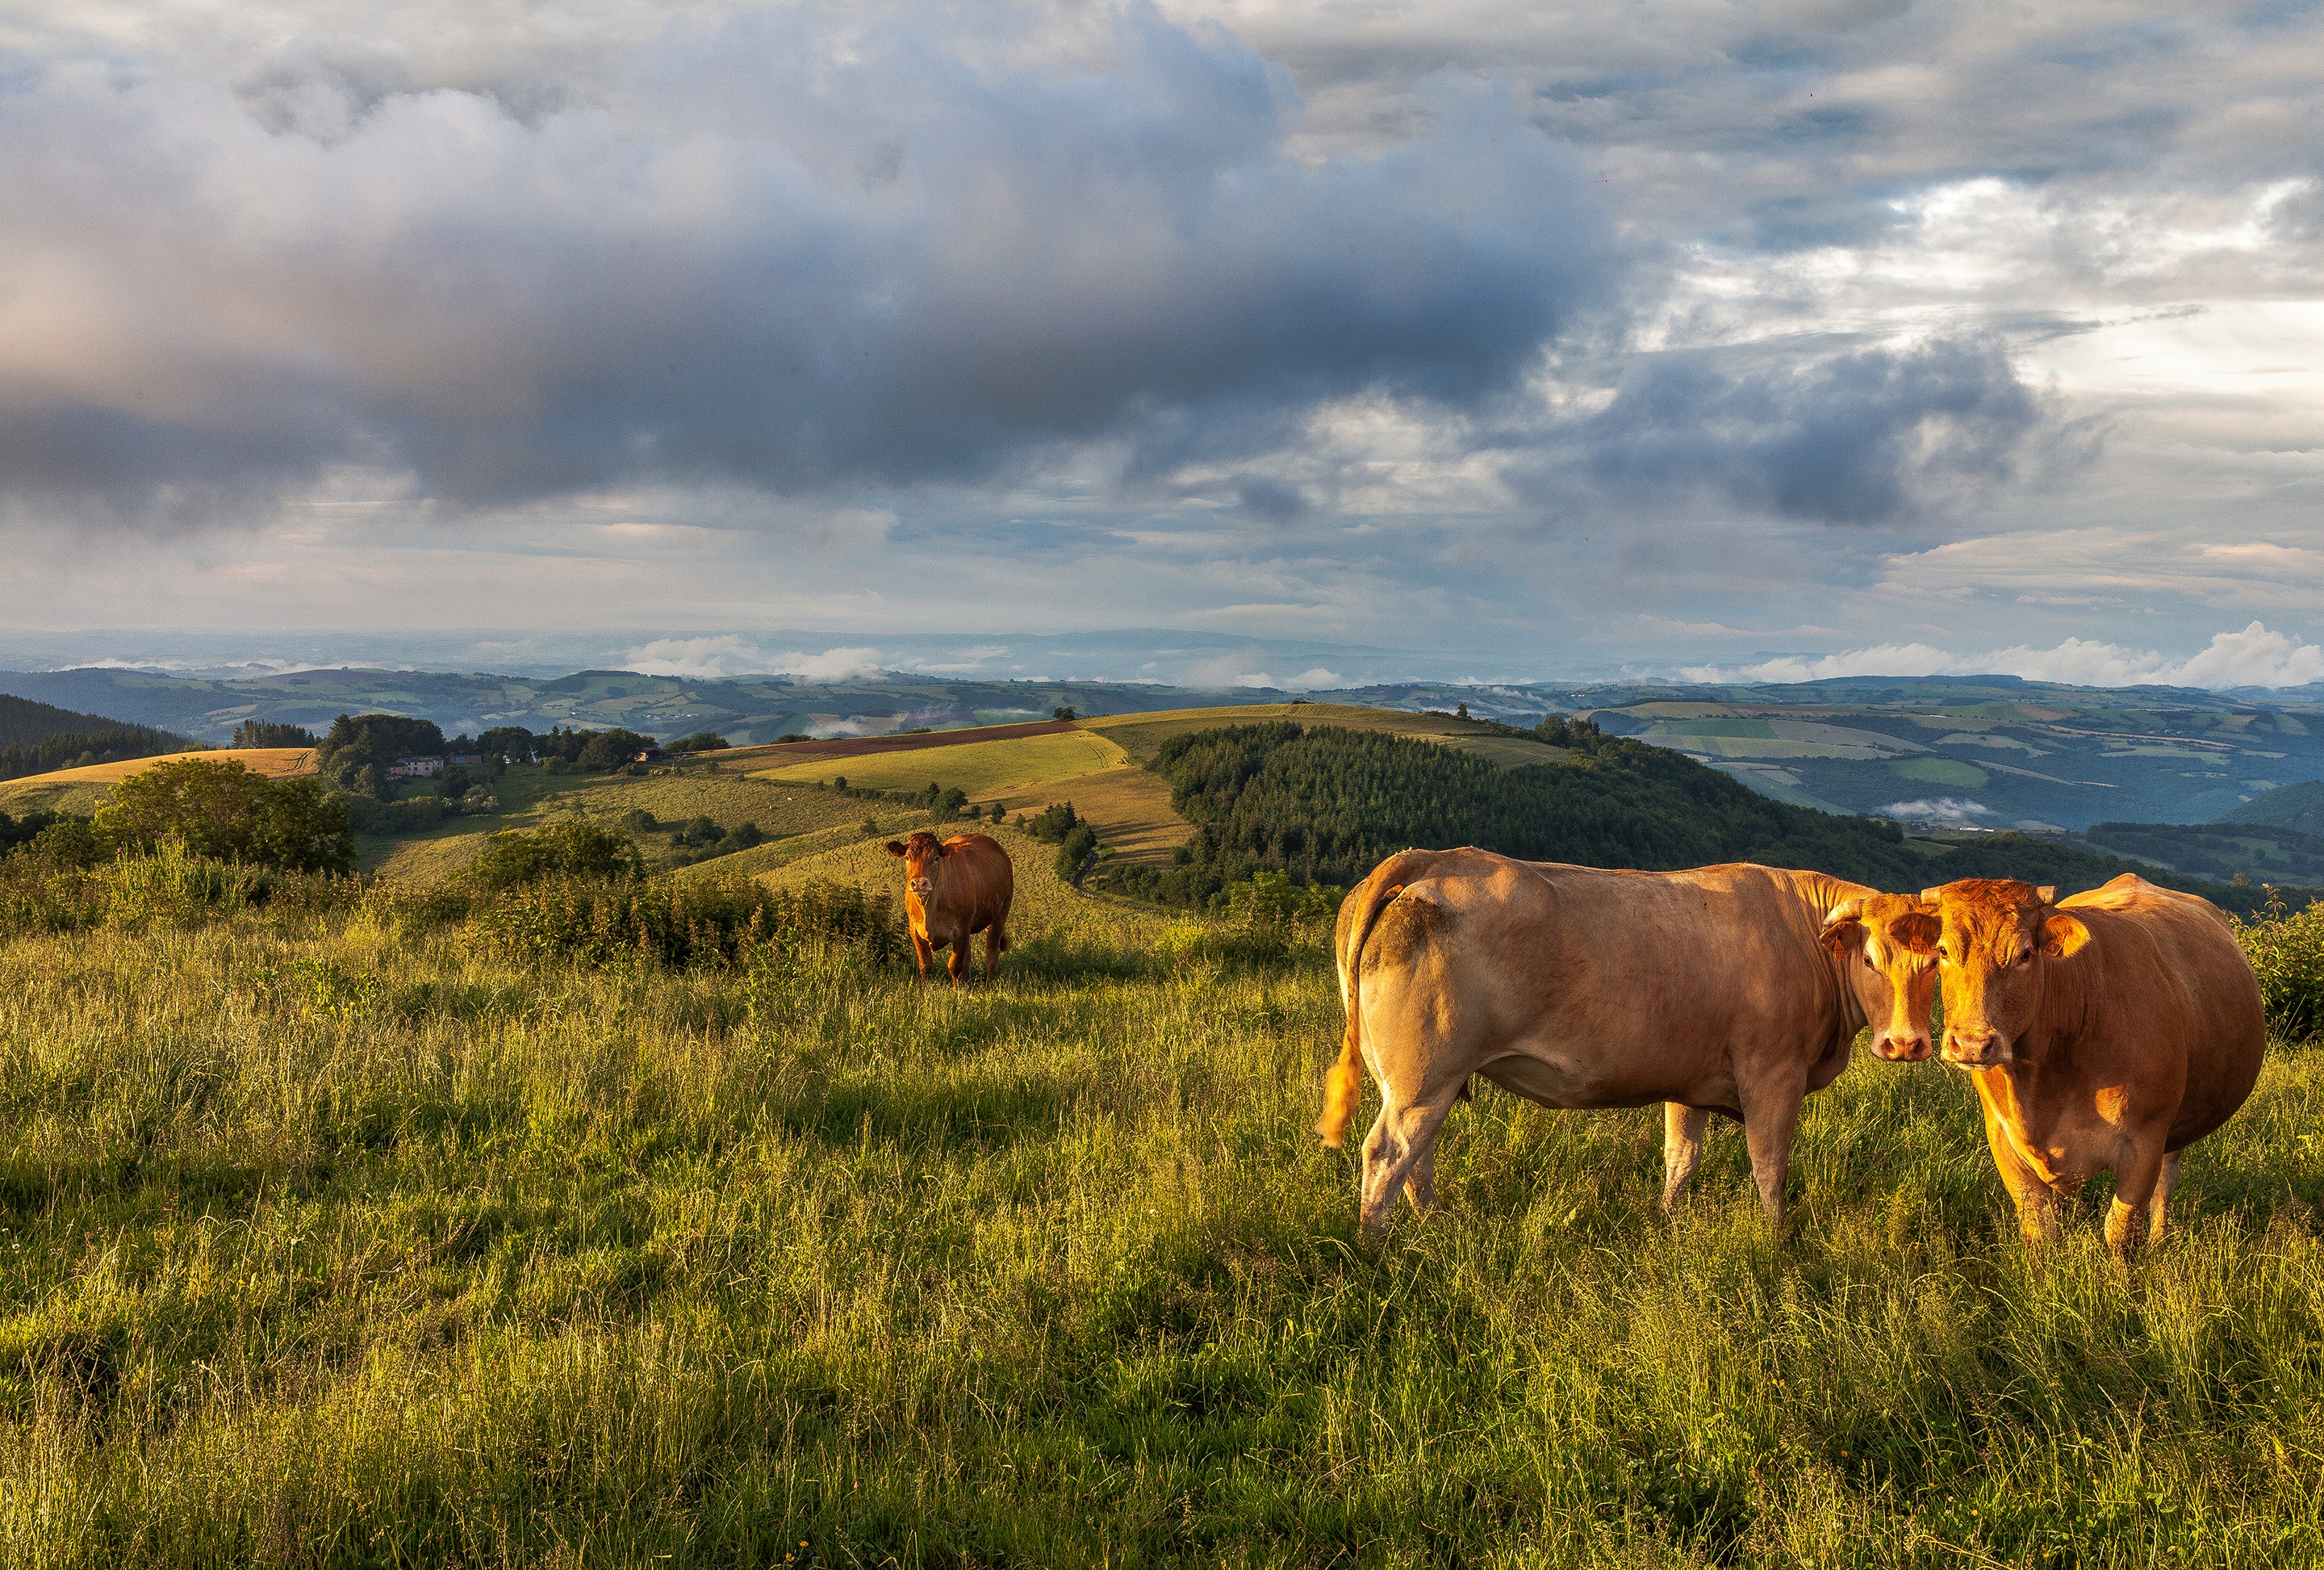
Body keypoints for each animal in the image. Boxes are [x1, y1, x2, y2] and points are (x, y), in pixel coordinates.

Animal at [883, 837, 1013, 981]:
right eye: (907, 857)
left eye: (936, 858)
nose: (919, 883)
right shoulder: (915, 931)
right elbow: (925, 965)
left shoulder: (961, 931)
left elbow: (954, 966)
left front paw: (957, 987)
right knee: (968, 957)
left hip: (1001, 912)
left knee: (992, 952)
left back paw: (989, 983)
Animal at [1319, 856, 1933, 1246]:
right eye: (1871, 959)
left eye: (1937, 959)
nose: (1905, 1043)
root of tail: (1430, 859)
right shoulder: (1773, 1074)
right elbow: (1770, 1166)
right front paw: (1778, 1239)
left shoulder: (1691, 1080)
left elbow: (1681, 1157)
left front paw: (1668, 1223)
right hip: (1425, 1075)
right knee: (1388, 1152)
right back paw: (1375, 1248)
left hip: (1421, 1079)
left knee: (1415, 1157)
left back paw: (1433, 1226)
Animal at [1915, 879, 2259, 1256]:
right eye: (1943, 951)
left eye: (2025, 954)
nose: (1972, 1043)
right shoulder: (2003, 1137)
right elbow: (2038, 1229)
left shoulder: (2145, 1141)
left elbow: (2121, 1231)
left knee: (2166, 1181)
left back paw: (2159, 1240)